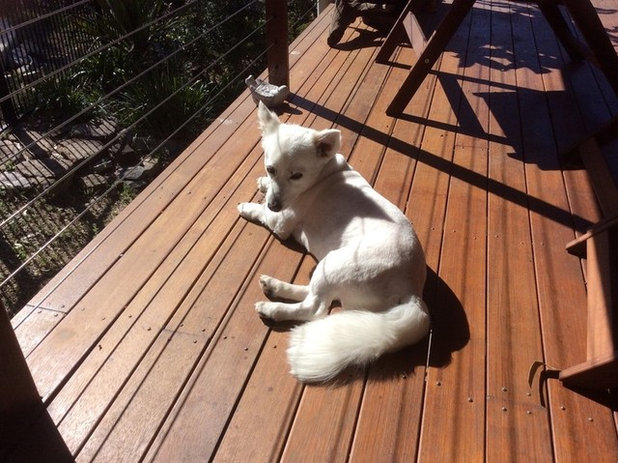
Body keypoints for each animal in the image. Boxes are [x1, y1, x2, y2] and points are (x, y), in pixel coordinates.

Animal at [236, 103, 428, 382]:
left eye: (297, 175)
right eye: (270, 168)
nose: (274, 203)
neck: (324, 173)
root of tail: (413, 291)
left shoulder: (281, 223)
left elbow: (262, 213)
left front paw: (248, 207)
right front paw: (262, 184)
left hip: (335, 263)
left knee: (314, 308)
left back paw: (272, 309)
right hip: (328, 269)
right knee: (311, 294)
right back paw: (274, 286)